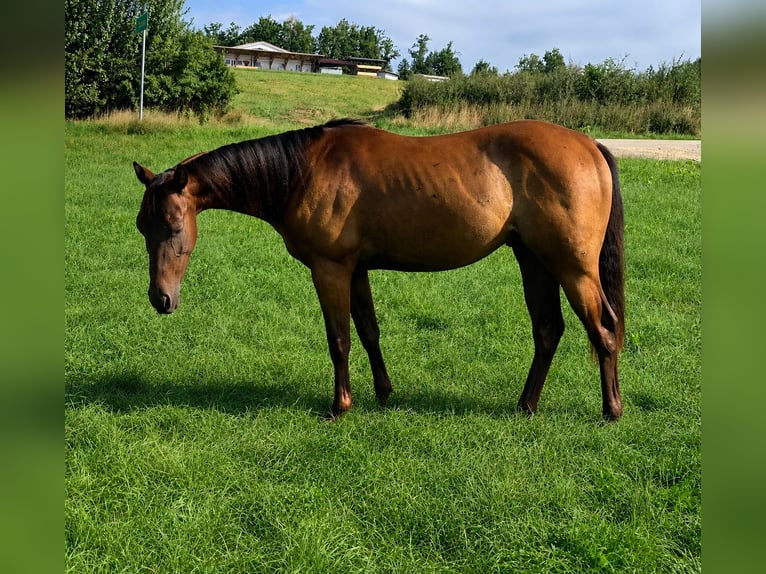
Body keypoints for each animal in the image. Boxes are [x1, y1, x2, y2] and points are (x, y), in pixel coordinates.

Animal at [133, 118, 625, 420]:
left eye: (173, 225)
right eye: (141, 226)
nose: (160, 299)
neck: (302, 171)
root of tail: (589, 145)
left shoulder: (330, 269)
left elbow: (339, 340)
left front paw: (340, 406)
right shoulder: (356, 270)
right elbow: (369, 331)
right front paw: (384, 393)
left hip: (572, 268)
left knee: (603, 329)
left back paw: (611, 411)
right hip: (534, 261)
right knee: (548, 330)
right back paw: (525, 405)